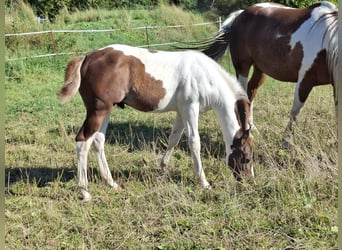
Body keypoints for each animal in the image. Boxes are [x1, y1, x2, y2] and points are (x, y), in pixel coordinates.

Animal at [59, 44, 254, 201]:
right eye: (246, 158)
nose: (248, 182)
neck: (204, 75)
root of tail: (87, 57)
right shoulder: (190, 108)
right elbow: (194, 142)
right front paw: (204, 182)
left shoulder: (181, 112)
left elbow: (174, 139)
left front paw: (162, 169)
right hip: (98, 111)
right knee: (83, 142)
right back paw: (85, 192)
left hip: (106, 110)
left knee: (98, 141)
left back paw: (111, 183)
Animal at [195, 0, 336, 146]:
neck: (327, 42)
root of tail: (241, 14)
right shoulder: (305, 80)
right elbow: (295, 112)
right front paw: (286, 142)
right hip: (242, 67)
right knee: (243, 97)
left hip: (260, 70)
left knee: (250, 92)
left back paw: (252, 128)